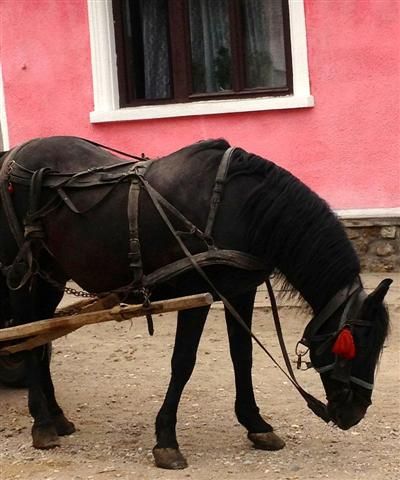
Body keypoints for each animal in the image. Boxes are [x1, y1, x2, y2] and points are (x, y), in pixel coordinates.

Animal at [0, 136, 391, 470]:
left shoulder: (240, 291)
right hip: (21, 274)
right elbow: (183, 363)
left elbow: (242, 357)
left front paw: (255, 423)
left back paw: (56, 415)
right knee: (28, 338)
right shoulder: (197, 292)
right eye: (351, 344)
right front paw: (166, 440)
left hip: (50, 275)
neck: (238, 205)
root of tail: (10, 158)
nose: (355, 412)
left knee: (42, 337)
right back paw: (42, 422)